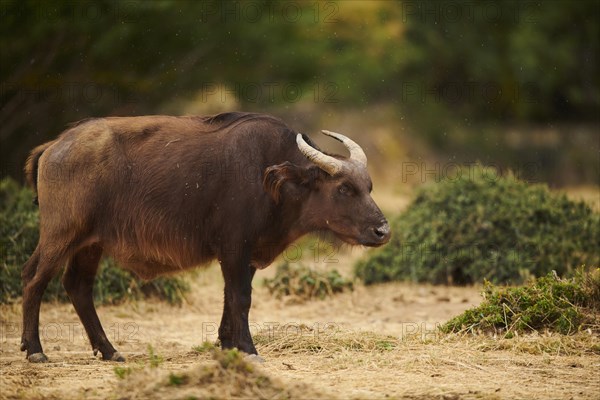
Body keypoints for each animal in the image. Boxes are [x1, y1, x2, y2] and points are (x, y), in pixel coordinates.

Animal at [21, 112, 392, 362]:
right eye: (344, 188)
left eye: (369, 186)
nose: (383, 231)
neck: (269, 178)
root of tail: (54, 145)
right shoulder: (234, 249)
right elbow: (241, 298)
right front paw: (248, 348)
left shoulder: (244, 255)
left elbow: (230, 298)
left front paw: (228, 345)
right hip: (61, 234)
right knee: (34, 278)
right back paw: (35, 349)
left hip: (90, 244)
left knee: (78, 287)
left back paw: (109, 350)